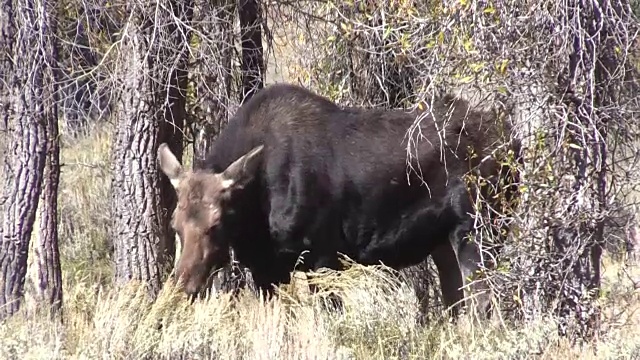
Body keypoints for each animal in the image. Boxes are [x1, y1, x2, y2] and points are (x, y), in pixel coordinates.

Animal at [158, 83, 524, 316]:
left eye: (216, 223)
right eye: (175, 225)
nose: (184, 285)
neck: (255, 210)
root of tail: (514, 142)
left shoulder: (324, 256)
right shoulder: (266, 270)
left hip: (479, 229)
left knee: (482, 304)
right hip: (442, 243)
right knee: (457, 303)